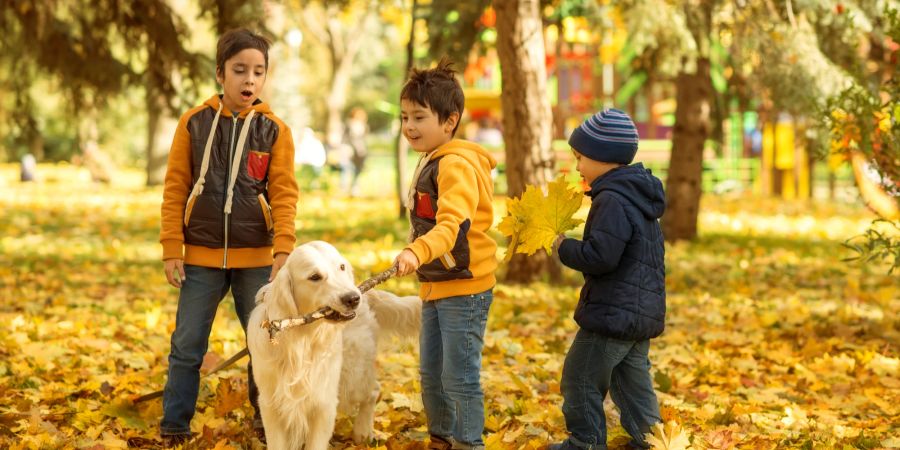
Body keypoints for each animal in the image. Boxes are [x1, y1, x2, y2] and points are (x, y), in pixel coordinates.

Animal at [248, 243, 420, 450]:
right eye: (314, 277)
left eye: (341, 267)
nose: (353, 298)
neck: (302, 341)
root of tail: (365, 293)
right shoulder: (271, 405)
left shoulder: (324, 403)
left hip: (350, 377)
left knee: (373, 390)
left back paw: (362, 432)